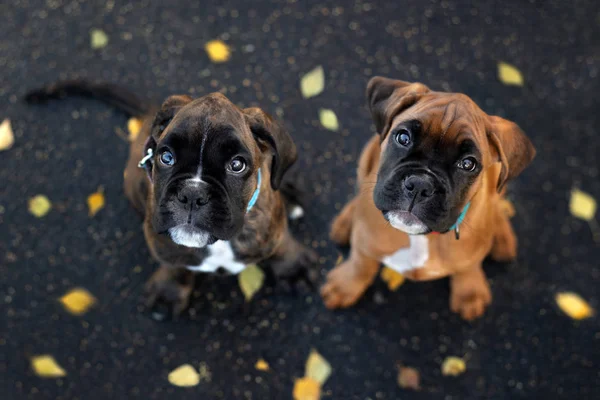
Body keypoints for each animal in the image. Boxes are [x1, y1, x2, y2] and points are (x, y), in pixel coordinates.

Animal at [27, 80, 318, 318]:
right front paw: (168, 292)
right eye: (166, 157)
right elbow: (174, 265)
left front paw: (293, 269)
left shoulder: (270, 226)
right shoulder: (163, 243)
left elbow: (282, 243)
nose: (192, 193)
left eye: (237, 165)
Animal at [322, 76, 536, 320]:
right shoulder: (364, 241)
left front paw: (469, 293)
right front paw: (345, 285)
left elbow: (469, 266)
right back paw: (345, 222)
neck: (422, 237)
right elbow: (360, 263)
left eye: (468, 164)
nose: (420, 185)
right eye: (403, 137)